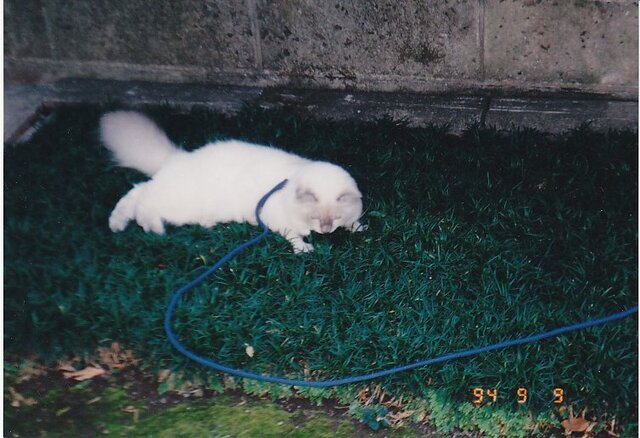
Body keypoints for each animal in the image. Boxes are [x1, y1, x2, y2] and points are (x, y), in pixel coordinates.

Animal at [99, 111, 364, 253]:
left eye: (335, 218)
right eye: (316, 218)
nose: (326, 230)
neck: (286, 186)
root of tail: (179, 157)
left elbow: (353, 221)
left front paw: (357, 227)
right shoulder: (276, 219)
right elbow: (293, 236)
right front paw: (303, 249)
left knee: (138, 191)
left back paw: (117, 224)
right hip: (176, 205)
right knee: (143, 201)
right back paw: (150, 229)